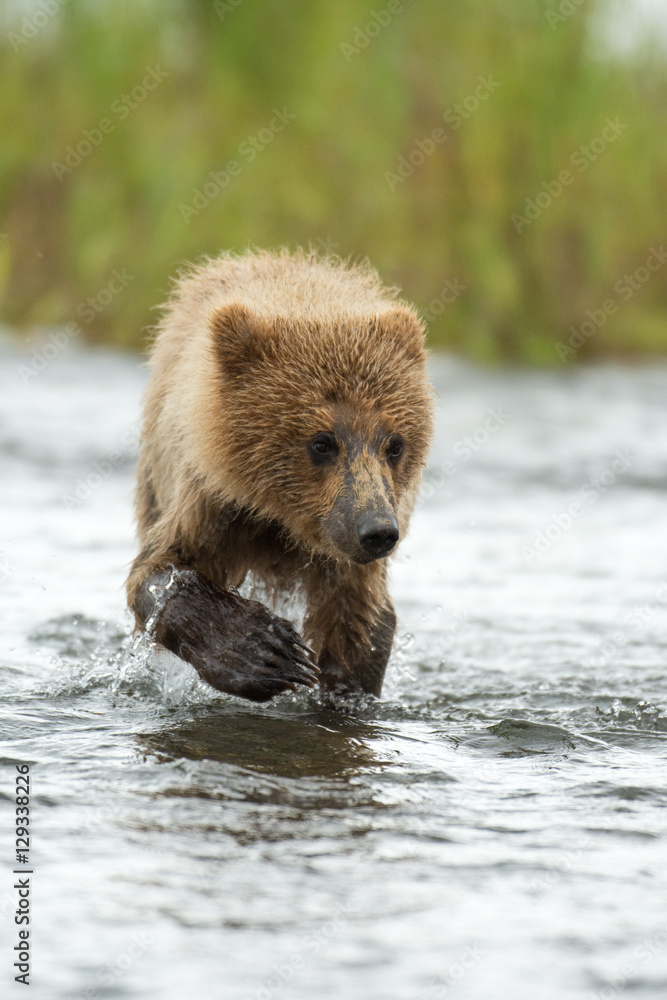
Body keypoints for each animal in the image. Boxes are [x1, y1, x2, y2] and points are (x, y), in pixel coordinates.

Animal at [126, 249, 434, 701]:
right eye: (322, 442)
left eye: (395, 444)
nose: (377, 531)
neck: (283, 520)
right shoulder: (212, 498)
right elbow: (158, 573)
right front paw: (266, 652)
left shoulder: (346, 555)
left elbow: (358, 624)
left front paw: (339, 686)